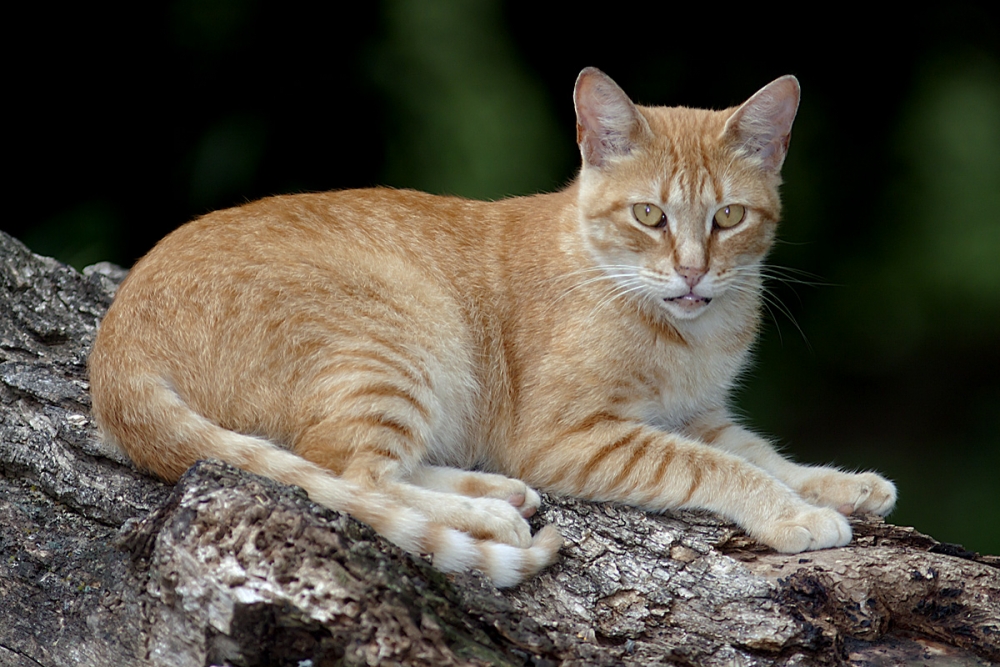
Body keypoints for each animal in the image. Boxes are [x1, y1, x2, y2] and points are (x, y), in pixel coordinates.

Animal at [90, 68, 896, 588]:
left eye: (729, 216)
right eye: (649, 215)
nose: (694, 272)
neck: (690, 335)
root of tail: (117, 337)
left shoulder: (697, 414)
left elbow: (762, 451)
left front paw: (837, 485)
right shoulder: (574, 436)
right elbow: (719, 468)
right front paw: (792, 515)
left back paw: (493, 492)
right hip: (403, 334)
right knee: (344, 474)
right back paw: (484, 516)